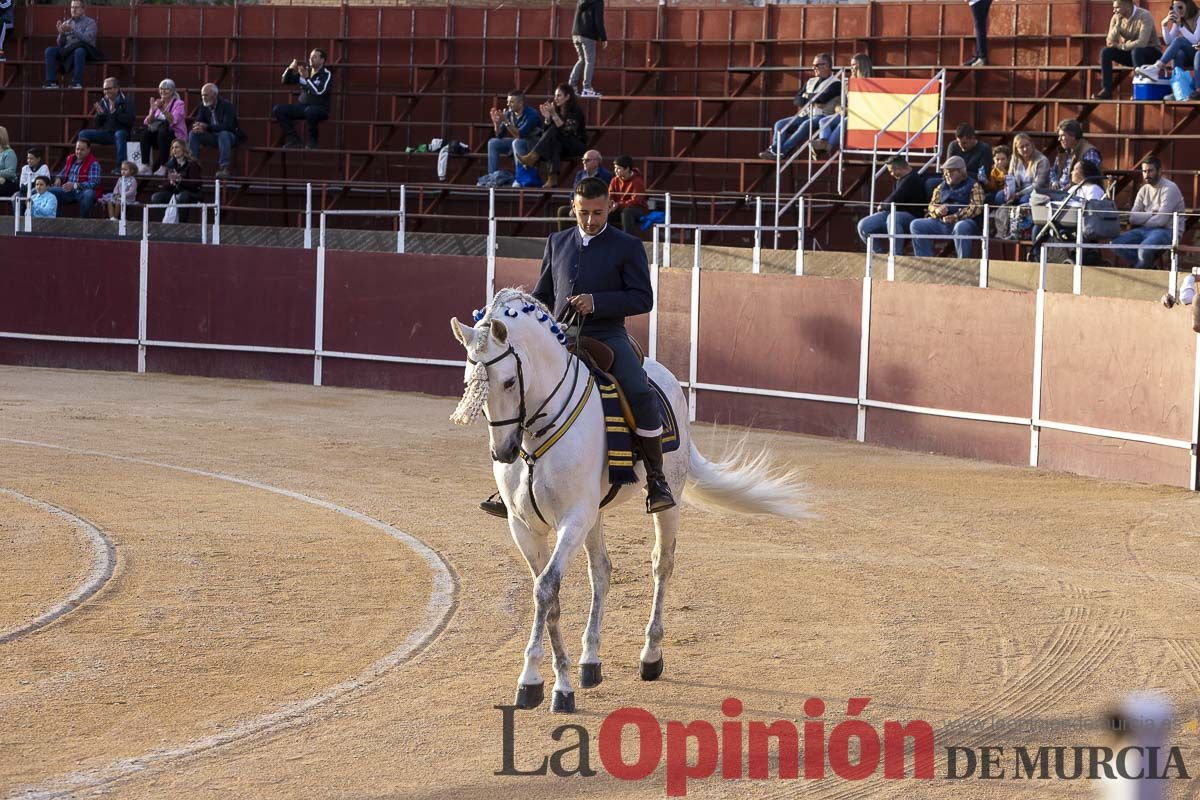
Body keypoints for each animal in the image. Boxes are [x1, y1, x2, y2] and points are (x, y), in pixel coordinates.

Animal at [453, 287, 811, 714]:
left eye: (509, 382)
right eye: (469, 383)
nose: (503, 452)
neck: (537, 430)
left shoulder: (573, 519)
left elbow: (546, 589)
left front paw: (548, 685)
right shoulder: (524, 526)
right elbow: (547, 593)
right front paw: (545, 681)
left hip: (667, 499)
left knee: (662, 563)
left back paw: (650, 656)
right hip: (595, 515)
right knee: (602, 571)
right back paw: (591, 662)